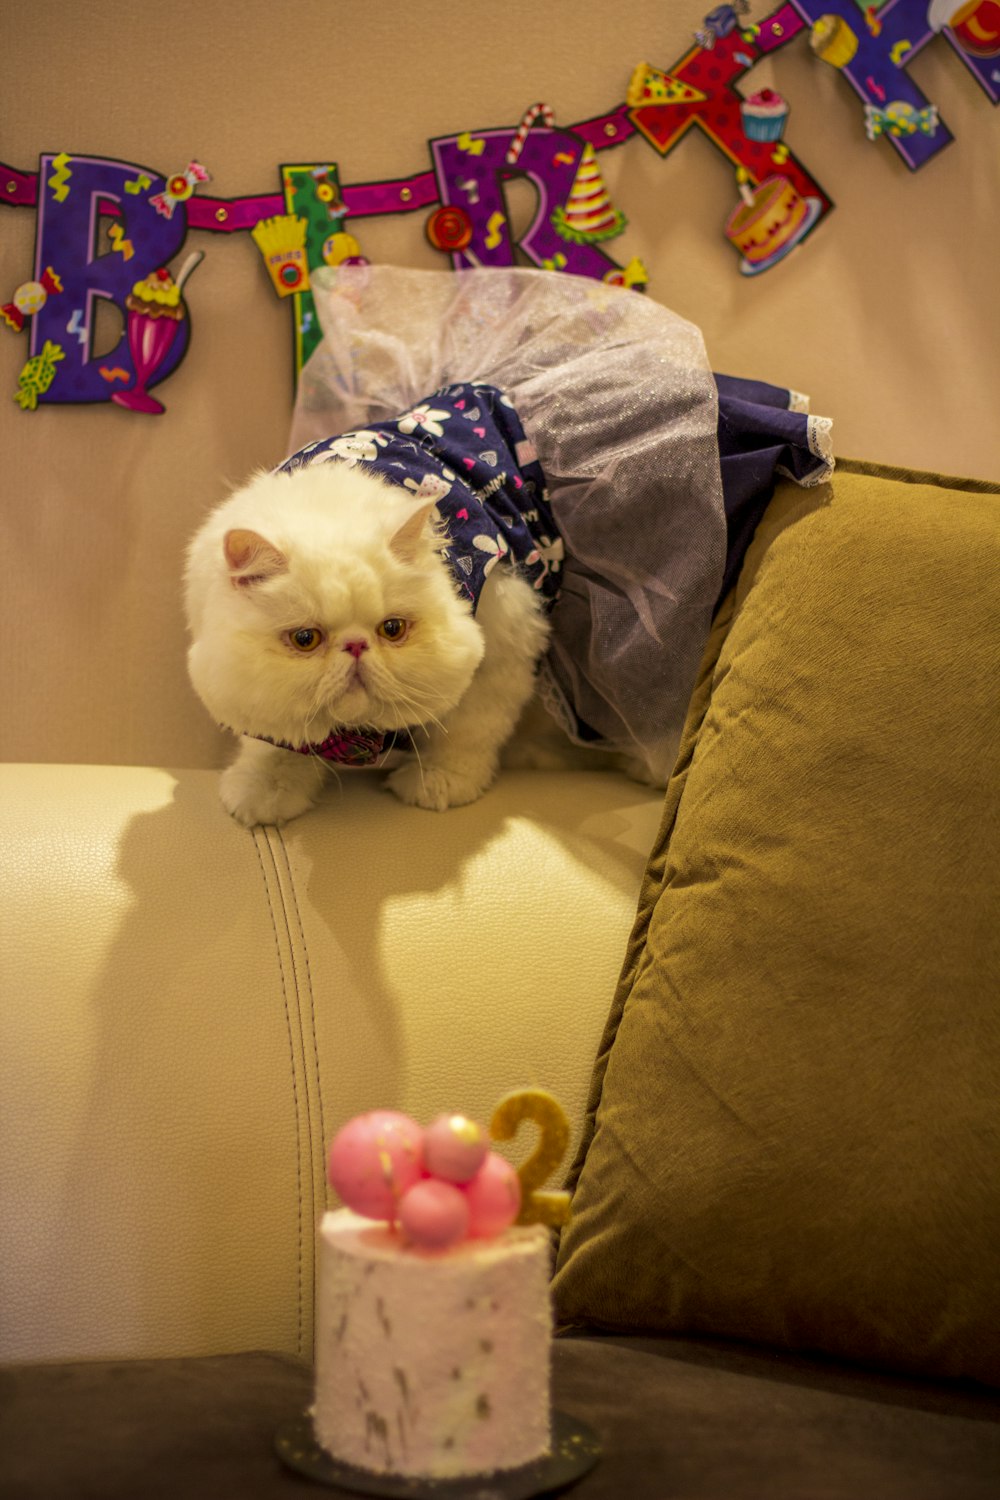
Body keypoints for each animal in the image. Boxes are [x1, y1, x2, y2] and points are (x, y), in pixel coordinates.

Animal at [183, 462, 551, 828]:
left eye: (392, 629)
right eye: (305, 639)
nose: (356, 645)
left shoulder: (502, 650)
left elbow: (465, 731)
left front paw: (439, 782)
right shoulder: (256, 696)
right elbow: (275, 748)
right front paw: (264, 792)